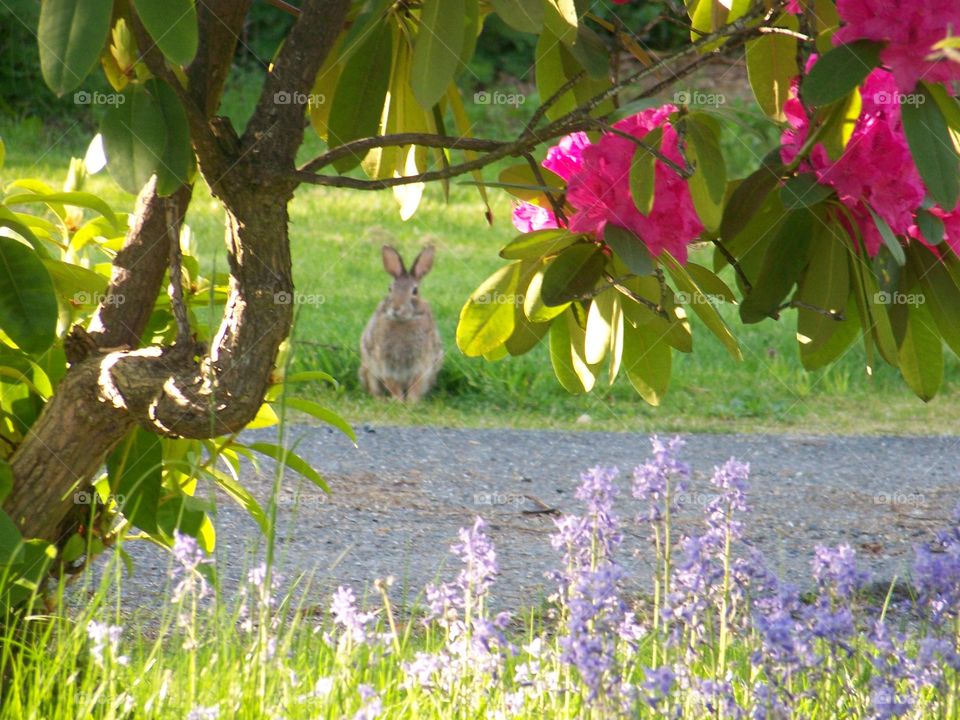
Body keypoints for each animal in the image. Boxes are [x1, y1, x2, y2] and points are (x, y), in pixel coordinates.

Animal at [358, 242, 444, 400]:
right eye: (390, 289)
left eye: (415, 291)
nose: (396, 308)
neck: (403, 321)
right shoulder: (386, 363)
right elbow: (392, 384)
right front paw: (397, 401)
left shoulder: (422, 363)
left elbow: (416, 384)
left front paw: (411, 402)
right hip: (368, 368)